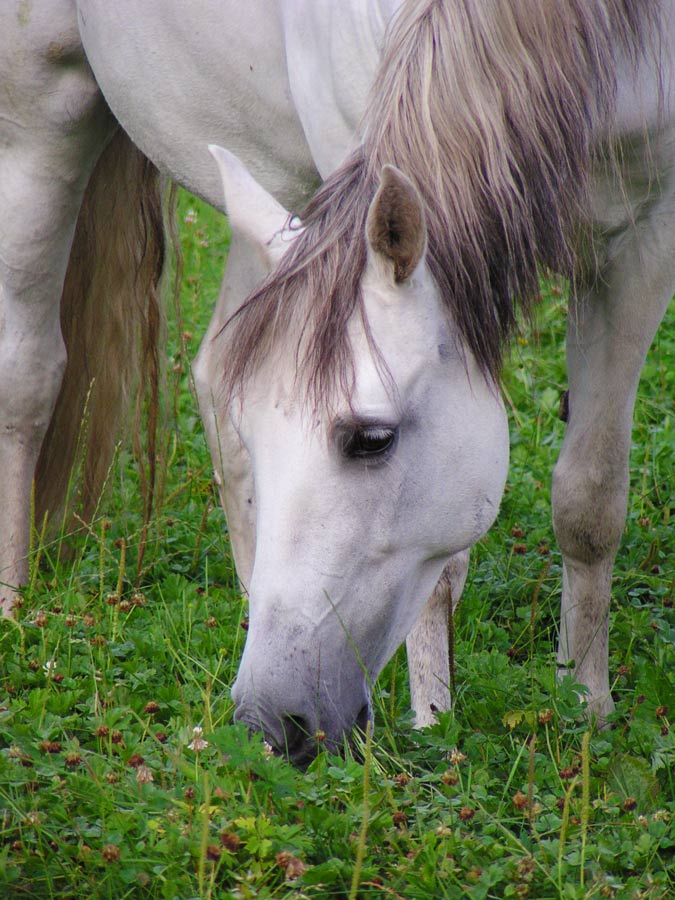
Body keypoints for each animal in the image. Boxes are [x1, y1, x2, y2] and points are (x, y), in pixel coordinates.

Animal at [0, 0, 672, 764]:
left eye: (371, 439)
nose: (266, 720)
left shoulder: (645, 239)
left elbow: (589, 501)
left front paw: (586, 706)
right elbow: (443, 577)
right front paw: (435, 724)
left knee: (212, 371)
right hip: (37, 112)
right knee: (27, 374)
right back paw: (15, 608)